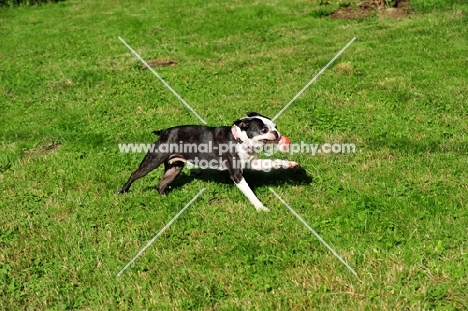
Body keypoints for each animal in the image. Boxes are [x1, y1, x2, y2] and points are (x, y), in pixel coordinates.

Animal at [120, 112, 296, 212]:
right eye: (264, 130)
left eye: (275, 126)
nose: (276, 133)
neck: (239, 140)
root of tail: (164, 132)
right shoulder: (236, 174)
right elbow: (249, 192)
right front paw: (260, 207)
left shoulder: (253, 163)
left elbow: (272, 161)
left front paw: (289, 164)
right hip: (154, 160)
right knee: (134, 174)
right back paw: (123, 191)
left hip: (174, 168)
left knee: (160, 184)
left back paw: (165, 198)